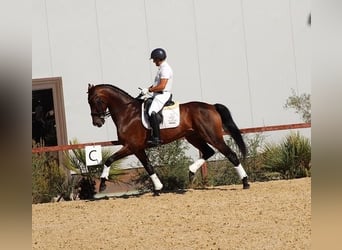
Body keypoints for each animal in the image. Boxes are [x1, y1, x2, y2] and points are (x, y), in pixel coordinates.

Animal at [87, 84, 250, 193]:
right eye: (88, 102)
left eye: (95, 100)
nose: (97, 123)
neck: (127, 112)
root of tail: (212, 106)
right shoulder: (138, 149)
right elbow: (149, 166)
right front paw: (158, 188)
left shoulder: (130, 146)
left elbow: (109, 160)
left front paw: (102, 184)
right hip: (193, 136)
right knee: (208, 152)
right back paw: (191, 171)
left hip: (212, 136)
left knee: (231, 155)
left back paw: (245, 183)